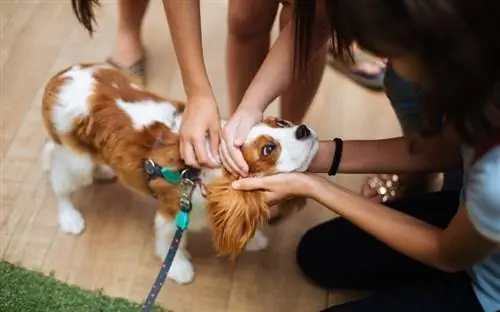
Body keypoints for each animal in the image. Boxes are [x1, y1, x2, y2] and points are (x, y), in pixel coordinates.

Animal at [41, 63, 318, 286]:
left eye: (281, 123)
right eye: (268, 149)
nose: (303, 130)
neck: (203, 172)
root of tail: (60, 77)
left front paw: (253, 239)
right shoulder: (172, 212)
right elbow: (171, 243)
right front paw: (178, 267)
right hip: (77, 162)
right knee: (59, 180)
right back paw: (69, 217)